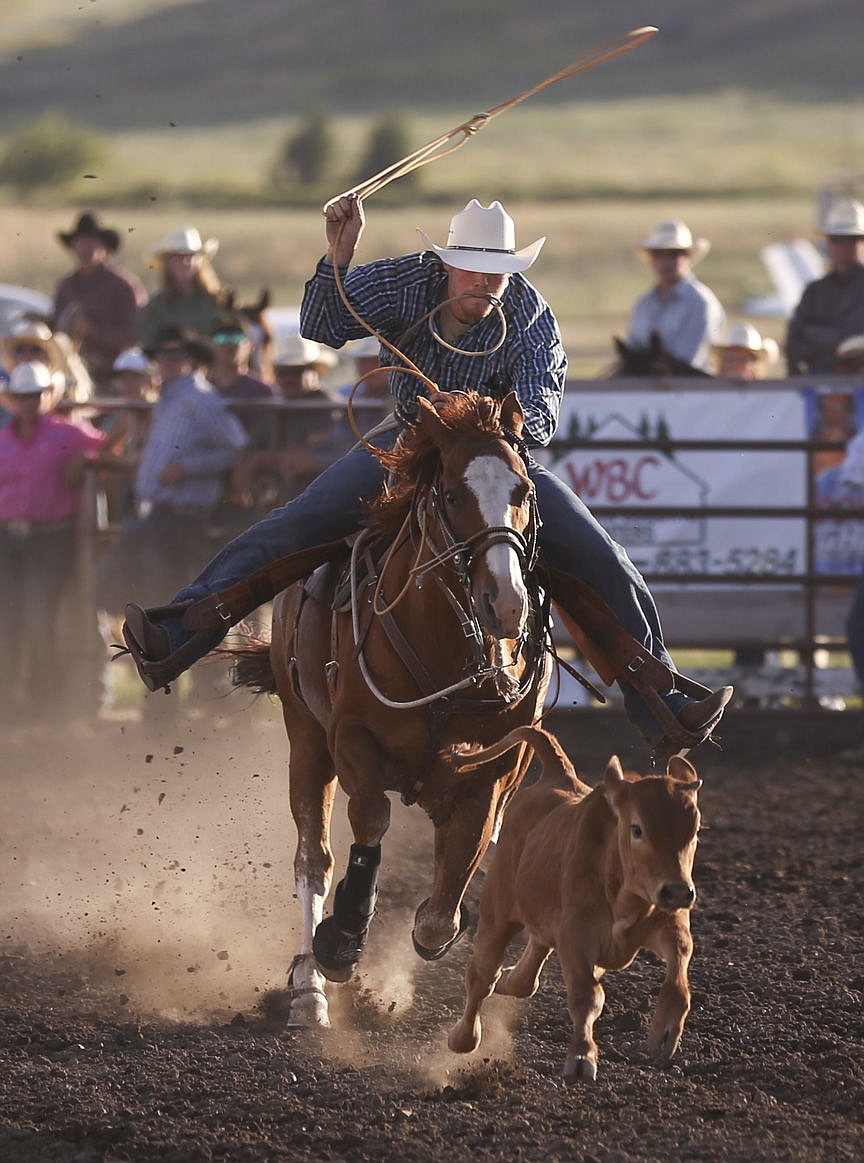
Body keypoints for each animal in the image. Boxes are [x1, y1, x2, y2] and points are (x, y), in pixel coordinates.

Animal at [446, 725, 702, 1079]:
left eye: (694, 831)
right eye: (637, 829)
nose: (678, 891)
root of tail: (558, 776)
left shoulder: (667, 921)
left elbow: (679, 960)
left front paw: (664, 1032)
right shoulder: (576, 933)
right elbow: (587, 995)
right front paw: (581, 1057)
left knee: (531, 961)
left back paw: (512, 979)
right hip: (497, 911)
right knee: (482, 975)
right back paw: (463, 1036)